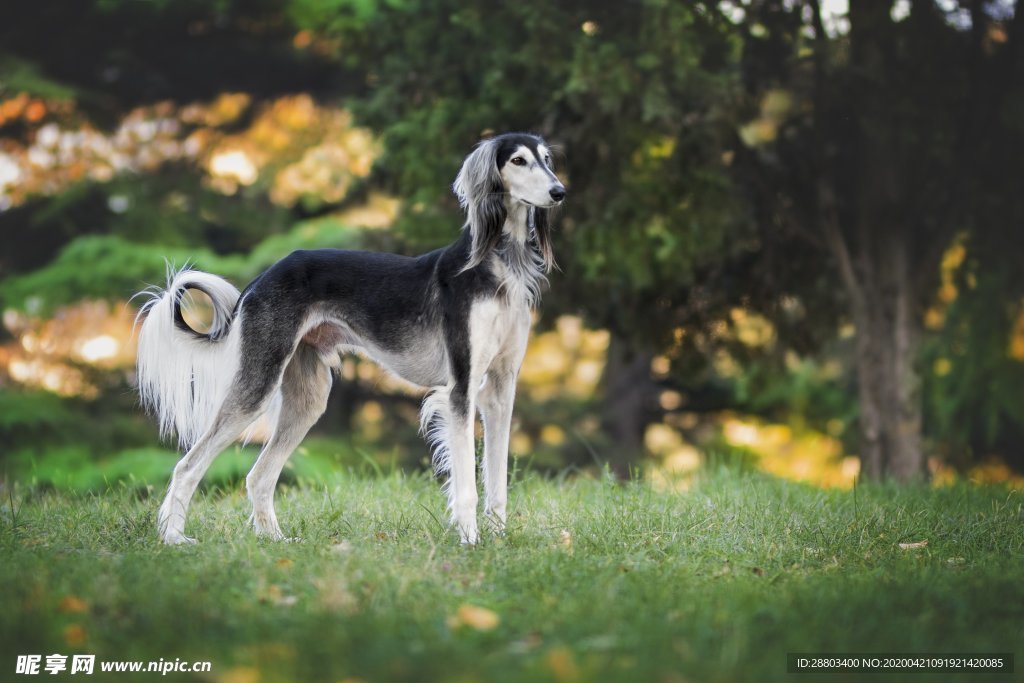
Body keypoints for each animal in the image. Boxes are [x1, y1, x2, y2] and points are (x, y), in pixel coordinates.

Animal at [134, 132, 569, 544]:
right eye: (518, 161)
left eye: (547, 159)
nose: (559, 192)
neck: (497, 263)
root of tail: (261, 278)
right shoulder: (460, 389)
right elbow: (467, 485)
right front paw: (469, 540)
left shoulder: (500, 388)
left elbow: (497, 480)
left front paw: (497, 539)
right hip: (258, 382)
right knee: (187, 465)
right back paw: (173, 538)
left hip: (308, 397)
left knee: (258, 476)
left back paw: (275, 540)